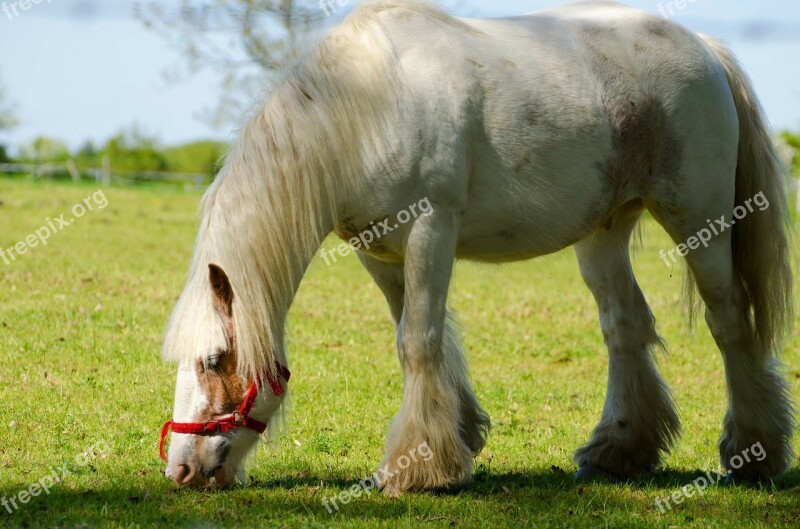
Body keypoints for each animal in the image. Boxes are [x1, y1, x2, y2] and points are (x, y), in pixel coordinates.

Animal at [158, 1, 792, 496]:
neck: (365, 110)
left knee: (729, 324)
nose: (181, 470)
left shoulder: (431, 230)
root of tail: (705, 47)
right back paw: (618, 451)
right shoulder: (377, 252)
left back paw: (753, 452)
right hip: (604, 233)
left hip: (700, 220)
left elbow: (418, 341)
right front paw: (457, 436)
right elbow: (418, 337)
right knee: (625, 327)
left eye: (214, 360)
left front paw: (416, 469)